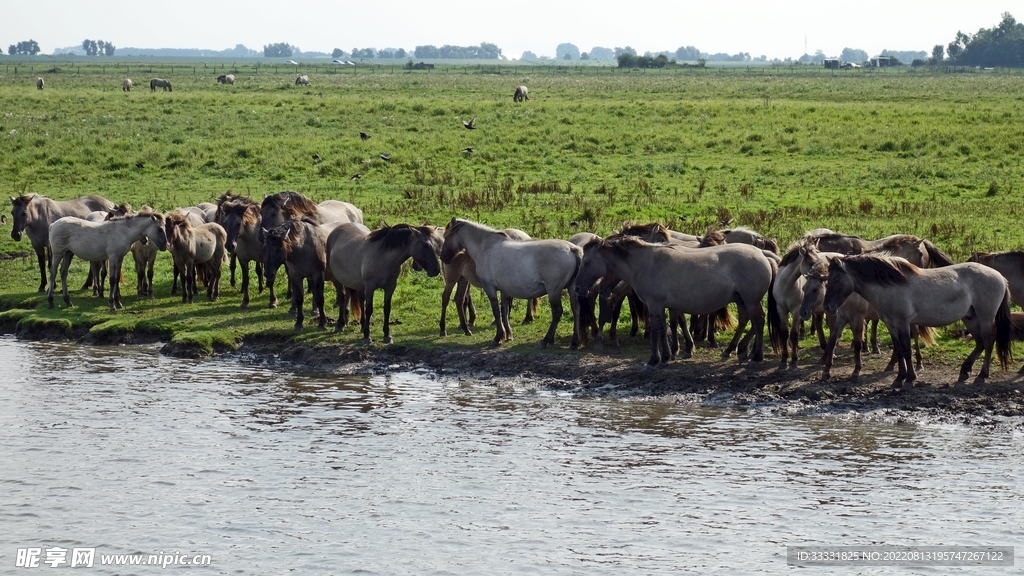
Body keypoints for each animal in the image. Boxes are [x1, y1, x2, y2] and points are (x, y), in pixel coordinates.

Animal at [441, 218, 582, 348]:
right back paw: (574, 341)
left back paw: (546, 339)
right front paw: (508, 335)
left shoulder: (489, 288)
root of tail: (572, 249)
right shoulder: (504, 290)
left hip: (554, 290)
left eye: (446, 236)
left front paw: (498, 337)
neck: (485, 245)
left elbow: (497, 312)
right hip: (571, 288)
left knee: (557, 312)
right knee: (576, 309)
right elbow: (504, 311)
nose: (443, 258)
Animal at [575, 236, 776, 368]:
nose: (577, 287)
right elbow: (665, 329)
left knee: (758, 320)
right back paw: (736, 350)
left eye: (587, 261)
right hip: (742, 300)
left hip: (750, 299)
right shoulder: (663, 306)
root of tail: (762, 254)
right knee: (747, 320)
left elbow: (656, 331)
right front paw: (666, 356)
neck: (645, 263)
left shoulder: (654, 305)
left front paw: (653, 360)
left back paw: (756, 356)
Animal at [821, 253, 1012, 388]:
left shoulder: (903, 323)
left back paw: (981, 376)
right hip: (970, 318)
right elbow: (898, 349)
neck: (890, 286)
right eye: (827, 279)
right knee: (979, 343)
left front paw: (909, 379)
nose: (827, 307)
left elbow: (906, 349)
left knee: (988, 342)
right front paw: (899, 378)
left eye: (836, 279)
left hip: (985, 317)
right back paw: (964, 371)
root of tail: (1000, 277)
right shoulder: (891, 324)